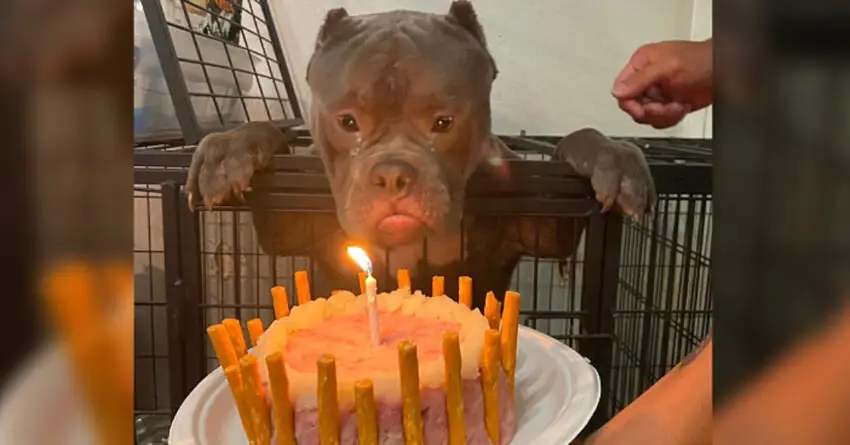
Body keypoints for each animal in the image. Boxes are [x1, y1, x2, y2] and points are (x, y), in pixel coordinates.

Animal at [186, 0, 652, 308]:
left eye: (444, 122)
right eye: (347, 122)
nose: (393, 174)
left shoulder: (540, 224)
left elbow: (574, 148)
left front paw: (611, 156)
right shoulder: (291, 223)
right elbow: (272, 140)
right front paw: (231, 147)